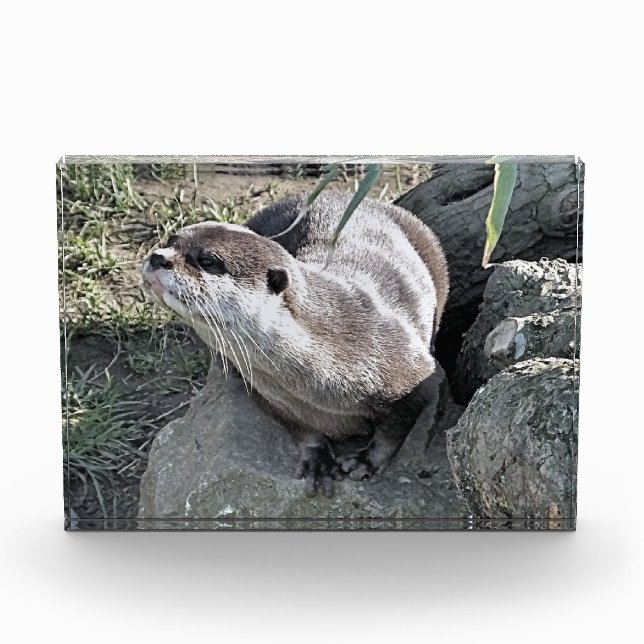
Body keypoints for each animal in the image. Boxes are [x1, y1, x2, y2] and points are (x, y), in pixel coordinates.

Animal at [142, 191, 449, 496]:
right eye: (170, 240)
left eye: (207, 260)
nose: (158, 257)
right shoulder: (266, 393)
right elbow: (298, 427)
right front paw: (317, 460)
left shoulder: (412, 370)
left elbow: (398, 424)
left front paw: (367, 461)